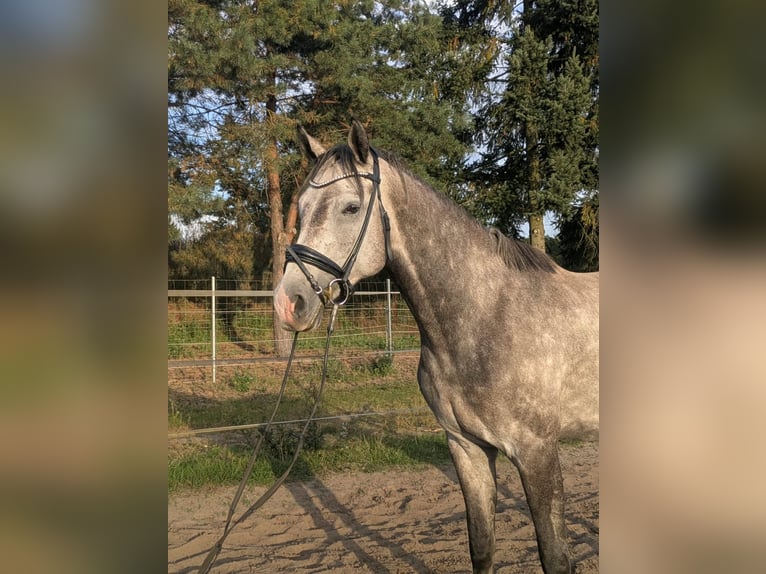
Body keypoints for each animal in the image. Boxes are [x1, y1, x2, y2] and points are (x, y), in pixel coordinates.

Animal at [274, 120, 599, 574]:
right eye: (301, 209)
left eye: (351, 208)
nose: (289, 303)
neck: (487, 315)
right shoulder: (466, 448)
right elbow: (481, 545)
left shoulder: (537, 452)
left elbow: (555, 557)